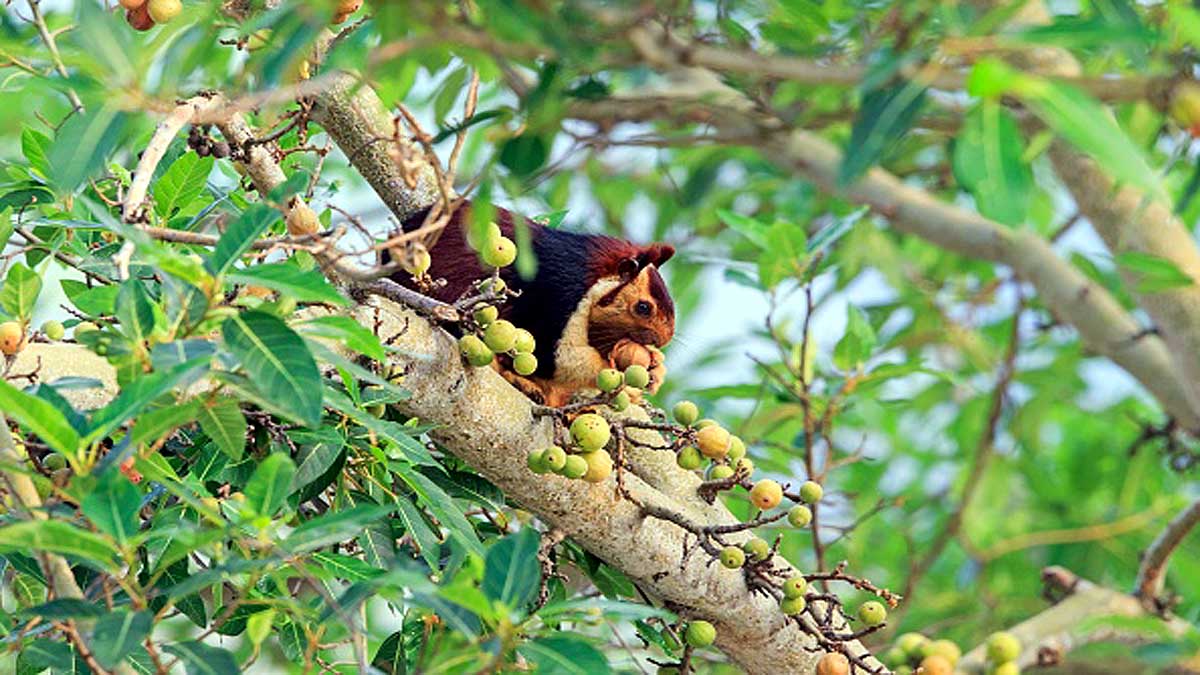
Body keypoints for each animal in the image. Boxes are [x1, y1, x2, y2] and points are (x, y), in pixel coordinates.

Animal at [392, 202, 675, 407]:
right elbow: (551, 357)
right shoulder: (556, 294)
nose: (664, 339)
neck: (589, 276)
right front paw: (623, 378)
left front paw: (657, 367)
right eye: (643, 307)